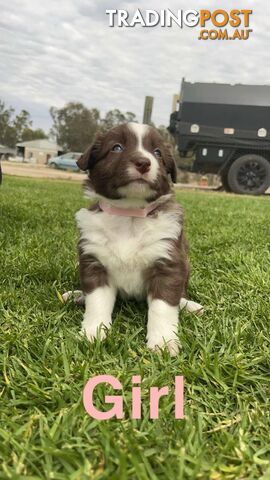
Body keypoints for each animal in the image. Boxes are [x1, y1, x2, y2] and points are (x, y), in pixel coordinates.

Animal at [74, 123, 202, 356]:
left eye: (158, 152)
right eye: (116, 147)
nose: (143, 162)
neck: (129, 215)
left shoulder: (168, 264)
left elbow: (163, 308)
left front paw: (163, 342)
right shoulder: (94, 263)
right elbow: (97, 302)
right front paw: (92, 334)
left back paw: (189, 306)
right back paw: (77, 295)